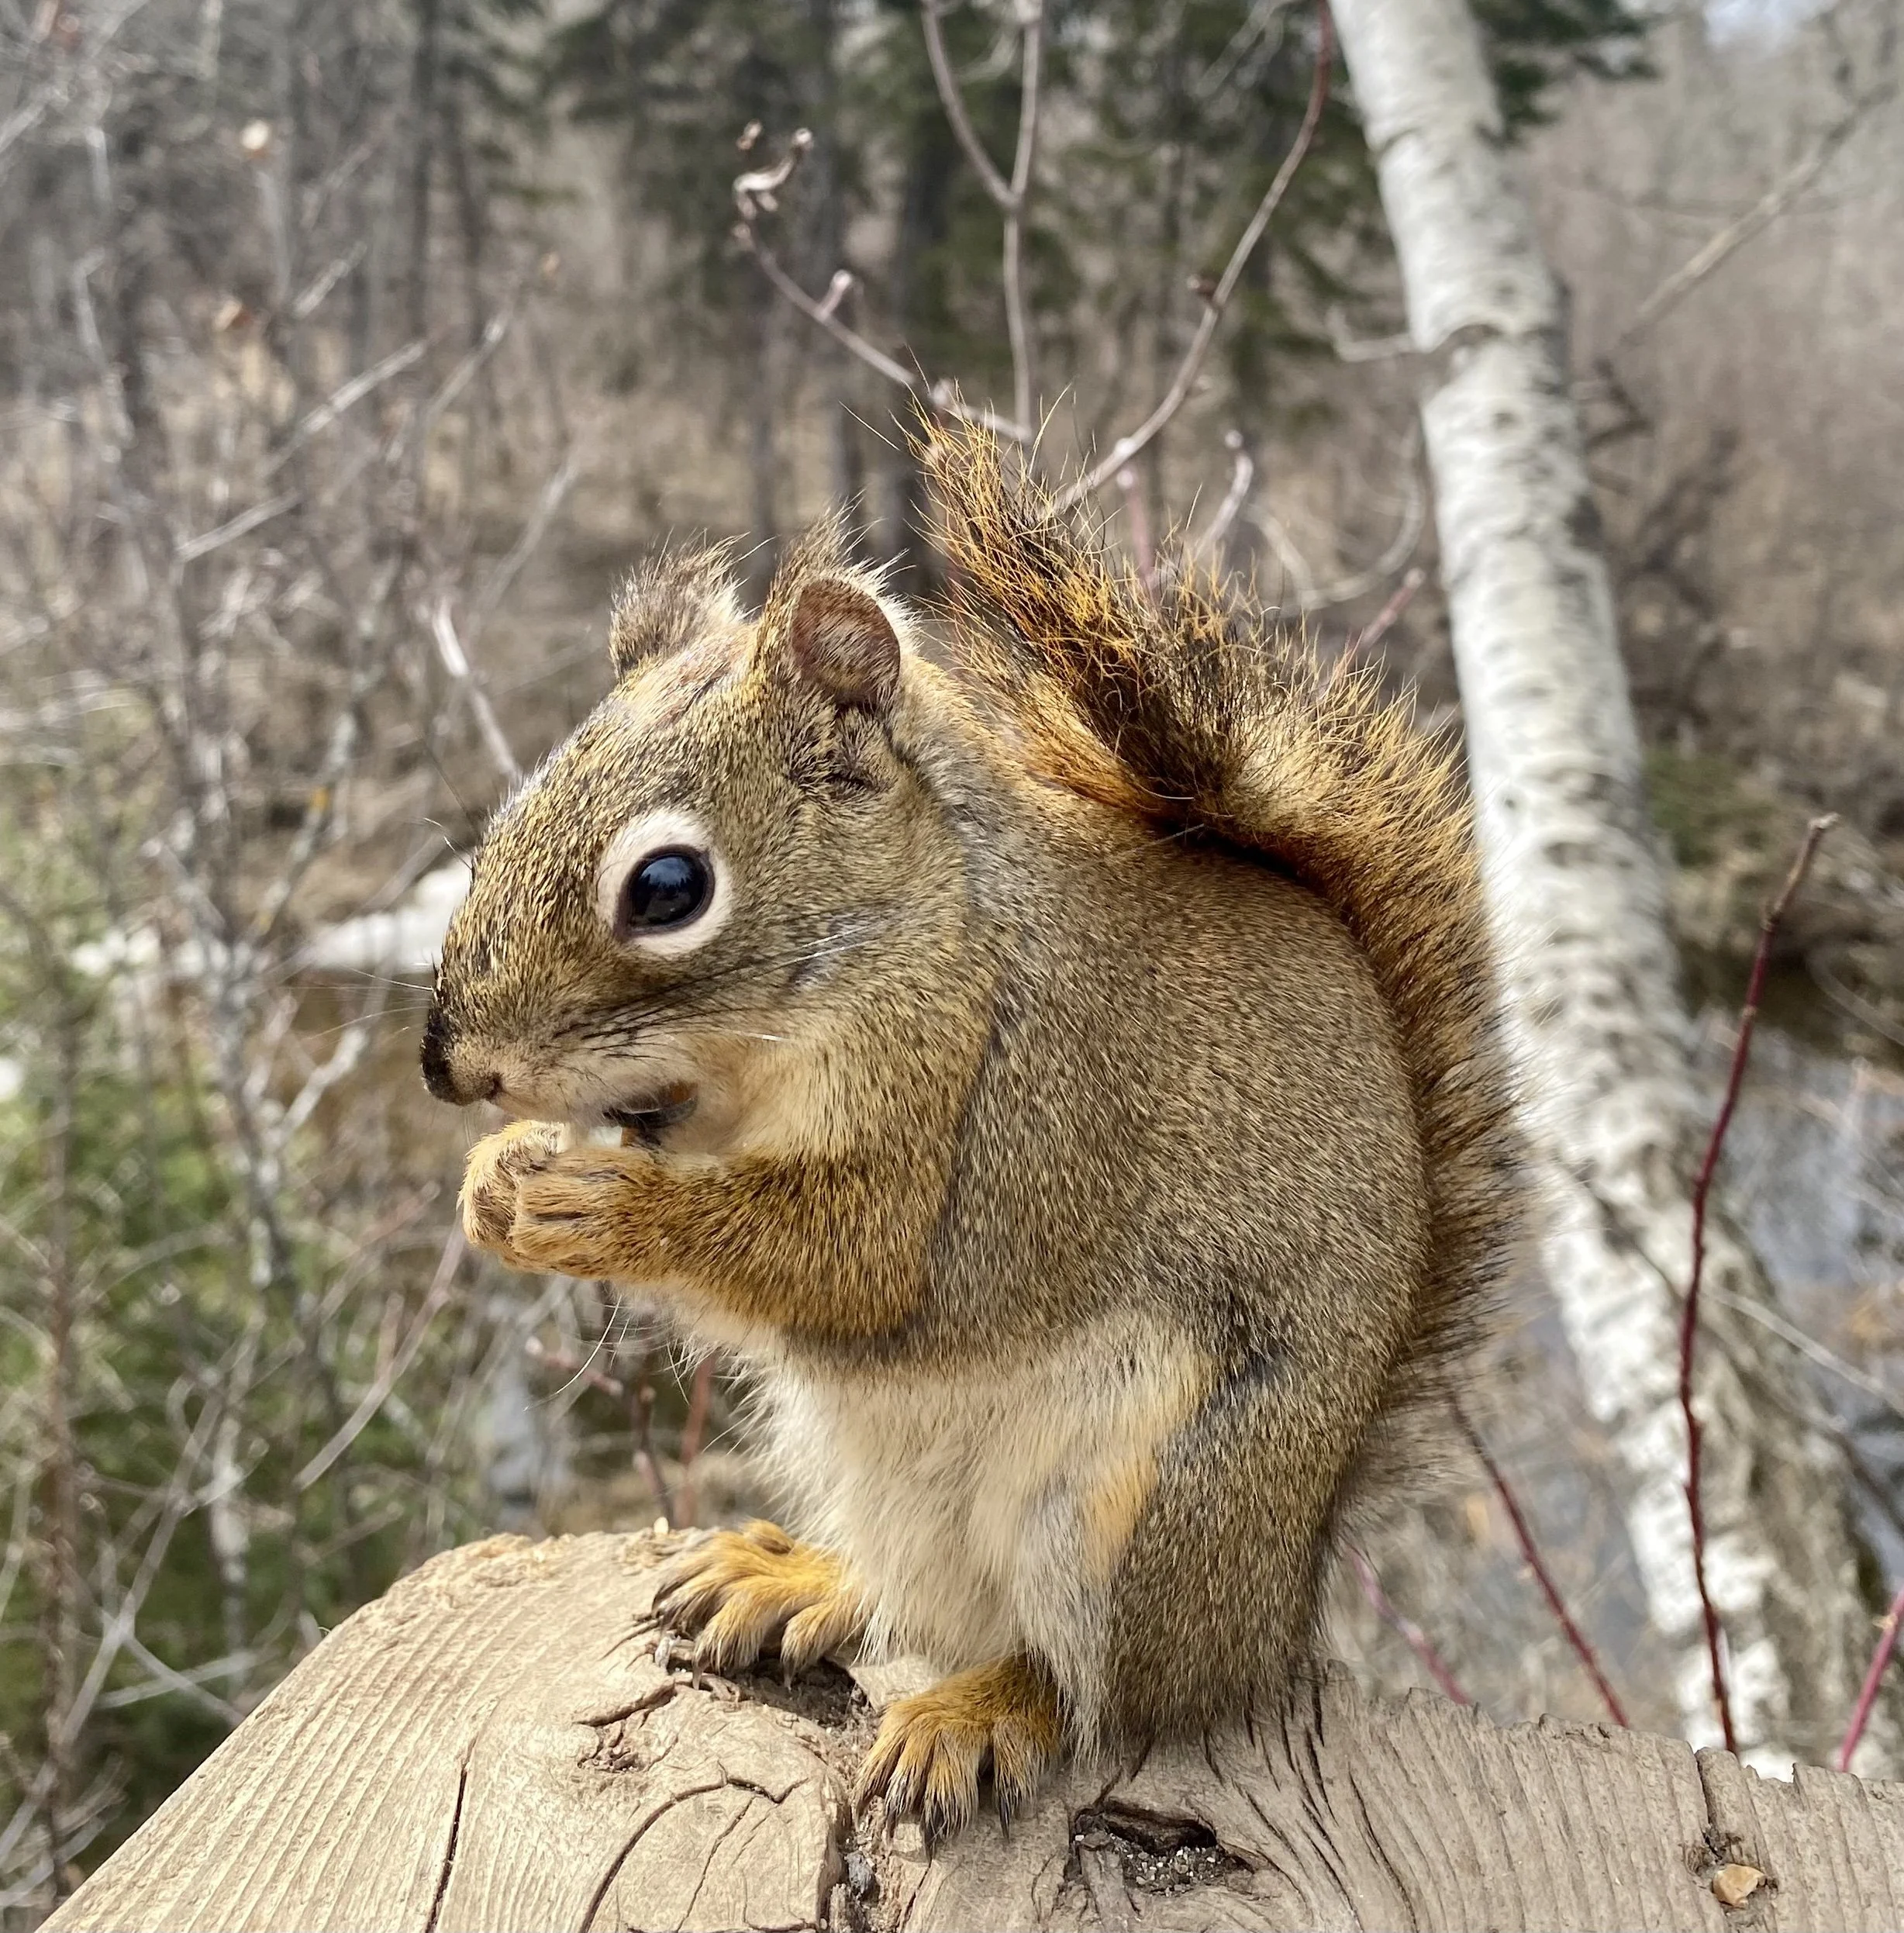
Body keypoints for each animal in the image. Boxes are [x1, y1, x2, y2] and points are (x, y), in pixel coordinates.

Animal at [421, 419, 1513, 1842]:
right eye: (506, 816)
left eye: (667, 886)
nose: (449, 1062)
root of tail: (1272, 1619)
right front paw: (497, 1179)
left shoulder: (1004, 1112)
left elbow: (865, 1264)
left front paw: (591, 1205)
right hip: (867, 1464)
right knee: (916, 1597)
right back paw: (799, 1578)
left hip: (1132, 1505)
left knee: (1100, 1691)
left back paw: (989, 1709)